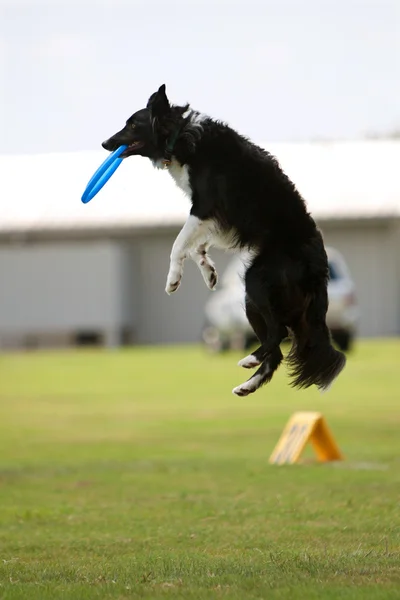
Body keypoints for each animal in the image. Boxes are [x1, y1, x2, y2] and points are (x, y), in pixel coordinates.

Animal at [101, 84, 346, 394]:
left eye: (133, 124)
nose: (105, 143)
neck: (179, 134)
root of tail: (320, 265)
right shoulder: (218, 219)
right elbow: (197, 245)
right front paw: (209, 272)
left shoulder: (204, 206)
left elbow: (178, 243)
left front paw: (173, 280)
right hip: (253, 301)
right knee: (276, 349)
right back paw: (248, 383)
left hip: (257, 281)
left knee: (278, 333)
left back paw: (250, 358)